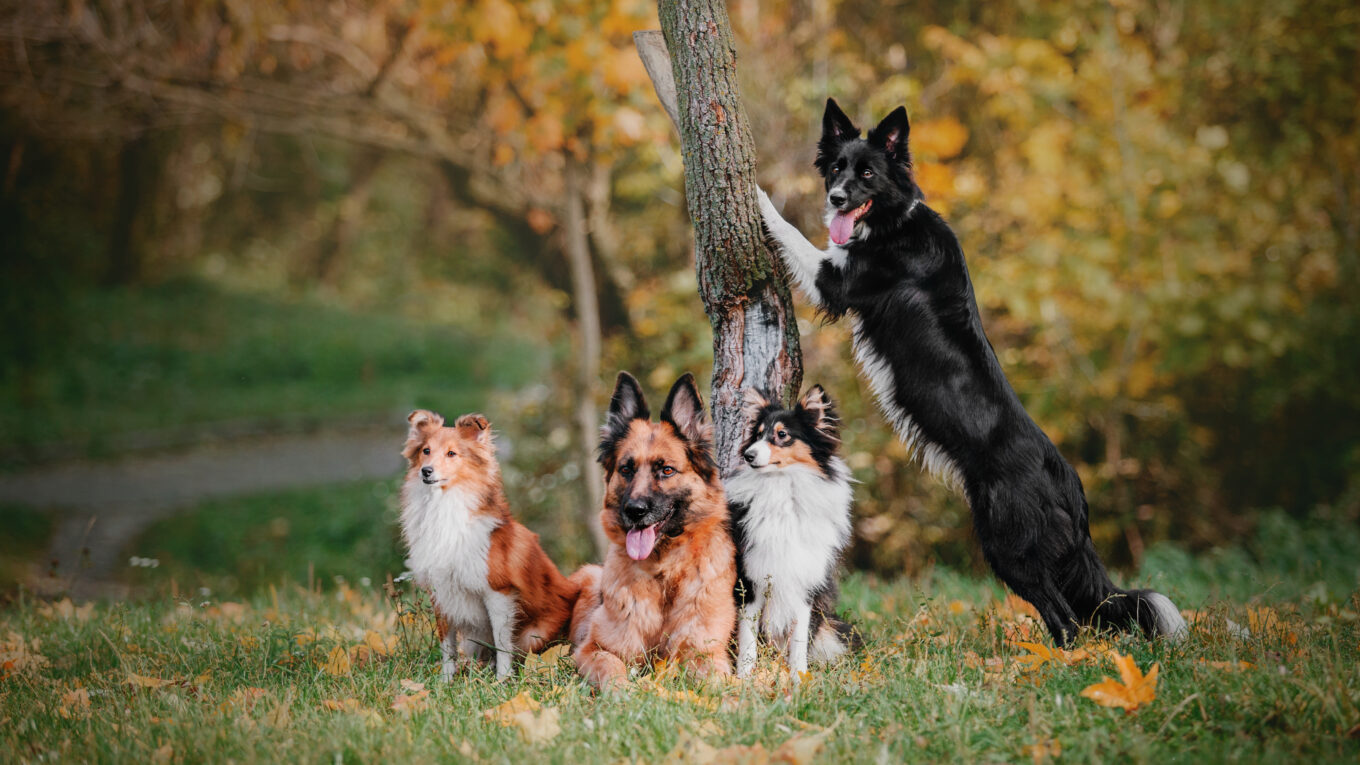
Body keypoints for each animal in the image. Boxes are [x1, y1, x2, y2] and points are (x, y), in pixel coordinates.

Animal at [728, 383, 854, 675]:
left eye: (782, 434)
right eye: (758, 434)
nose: (748, 455)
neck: (783, 489)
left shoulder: (804, 581)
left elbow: (799, 639)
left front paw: (799, 678)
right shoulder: (751, 581)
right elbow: (748, 640)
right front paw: (744, 679)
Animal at [756, 95, 1191, 642]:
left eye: (867, 173)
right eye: (836, 167)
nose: (836, 198)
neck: (897, 220)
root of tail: (1070, 488)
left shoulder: (835, 281)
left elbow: (790, 230)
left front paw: (755, 194)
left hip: (1009, 546)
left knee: (1066, 618)